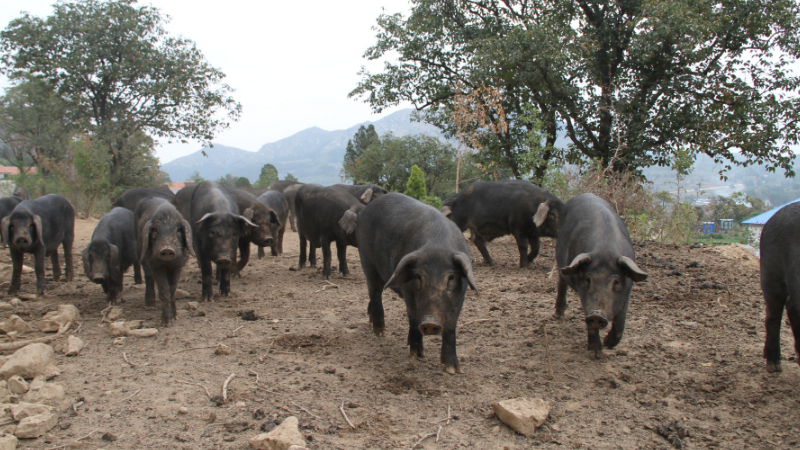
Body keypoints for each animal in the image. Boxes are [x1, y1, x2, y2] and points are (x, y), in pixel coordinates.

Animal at [135, 195, 195, 326]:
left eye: (178, 230)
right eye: (155, 230)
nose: (167, 248)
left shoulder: (178, 265)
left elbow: (172, 289)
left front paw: (175, 317)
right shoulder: (156, 264)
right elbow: (164, 290)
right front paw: (166, 323)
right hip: (142, 253)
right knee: (148, 276)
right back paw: (150, 304)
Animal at [360, 192, 478, 372]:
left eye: (451, 277)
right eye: (418, 276)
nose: (430, 321)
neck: (437, 244)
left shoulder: (460, 294)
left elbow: (451, 325)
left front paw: (453, 369)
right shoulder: (408, 290)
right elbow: (414, 318)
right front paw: (417, 356)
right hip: (367, 260)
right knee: (375, 292)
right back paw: (380, 332)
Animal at [556, 193, 648, 358]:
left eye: (616, 282)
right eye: (588, 279)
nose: (597, 314)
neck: (605, 250)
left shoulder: (627, 289)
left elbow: (621, 320)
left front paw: (608, 344)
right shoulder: (584, 294)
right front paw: (596, 353)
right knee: (561, 282)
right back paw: (559, 314)